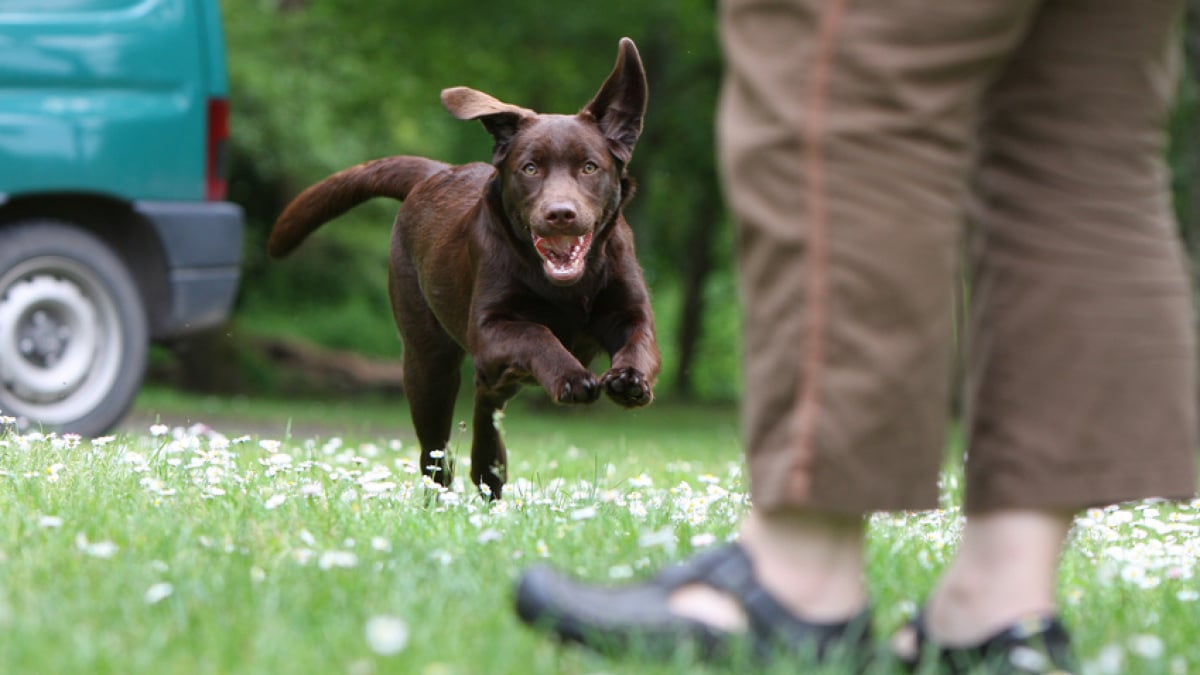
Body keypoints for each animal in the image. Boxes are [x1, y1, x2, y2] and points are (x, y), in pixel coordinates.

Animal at [267, 39, 662, 497]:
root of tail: (434, 173)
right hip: (427, 362)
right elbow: (538, 332)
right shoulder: (489, 329)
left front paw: (630, 380)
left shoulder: (629, 311)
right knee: (437, 448)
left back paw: (489, 467)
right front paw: (571, 376)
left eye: (589, 167)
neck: (566, 287)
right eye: (530, 168)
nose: (560, 214)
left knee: (487, 399)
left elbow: (639, 341)